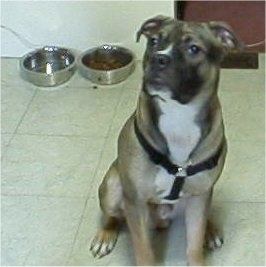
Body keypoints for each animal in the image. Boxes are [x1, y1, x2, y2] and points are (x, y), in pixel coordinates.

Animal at [89, 15, 243, 266]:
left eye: (193, 49)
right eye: (153, 42)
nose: (159, 58)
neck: (178, 115)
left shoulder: (199, 197)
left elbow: (194, 244)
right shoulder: (136, 202)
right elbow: (143, 251)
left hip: (198, 197)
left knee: (203, 215)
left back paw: (210, 230)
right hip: (113, 187)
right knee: (114, 215)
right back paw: (106, 234)